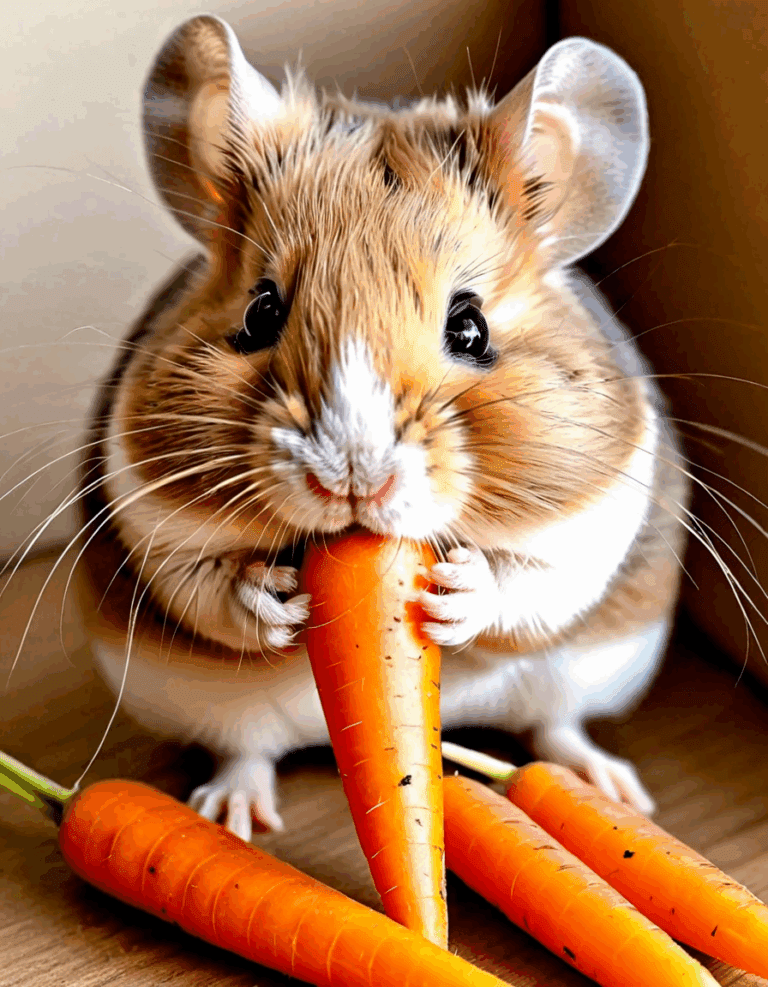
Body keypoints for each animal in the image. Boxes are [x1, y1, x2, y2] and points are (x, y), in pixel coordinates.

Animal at [75, 14, 689, 842]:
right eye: (260, 312)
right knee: (244, 751)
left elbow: (528, 581)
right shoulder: (149, 513)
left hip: (576, 676)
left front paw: (455, 592)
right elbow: (208, 584)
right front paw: (278, 598)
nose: (353, 477)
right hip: (216, 709)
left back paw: (615, 790)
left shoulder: (594, 521)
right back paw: (231, 817)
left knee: (556, 726)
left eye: (471, 327)